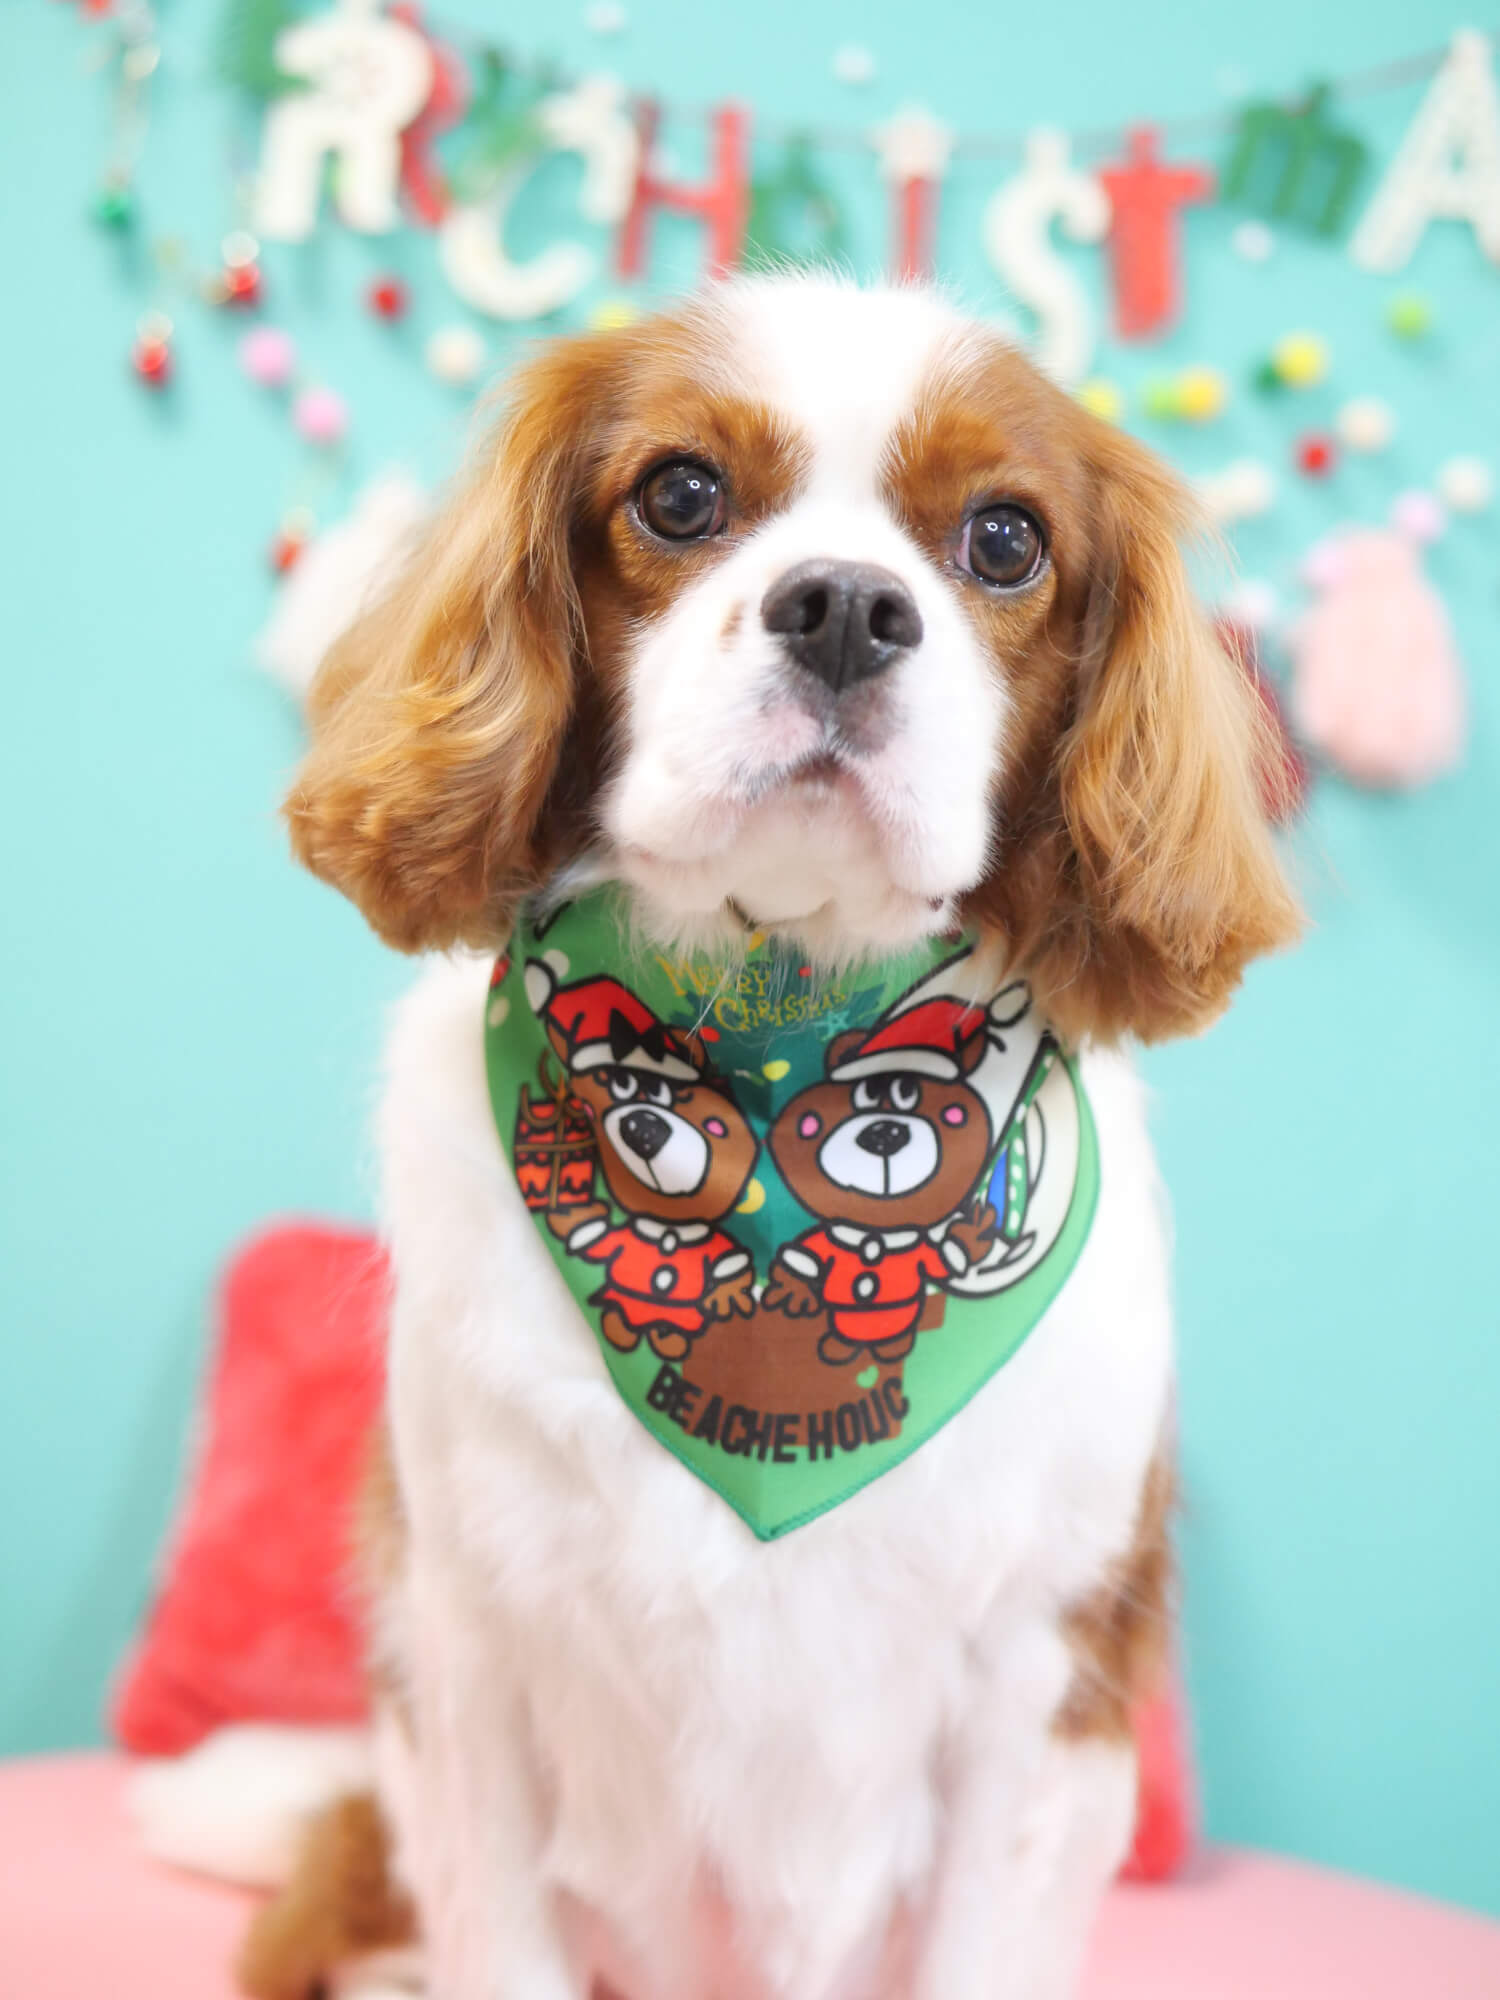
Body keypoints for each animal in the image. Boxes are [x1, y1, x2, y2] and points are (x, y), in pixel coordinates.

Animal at [243, 273, 1298, 2000]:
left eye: (1005, 540)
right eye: (680, 495)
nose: (848, 608)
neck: (777, 1023)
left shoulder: (1044, 1679)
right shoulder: (466, 1644)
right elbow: (501, 1933)